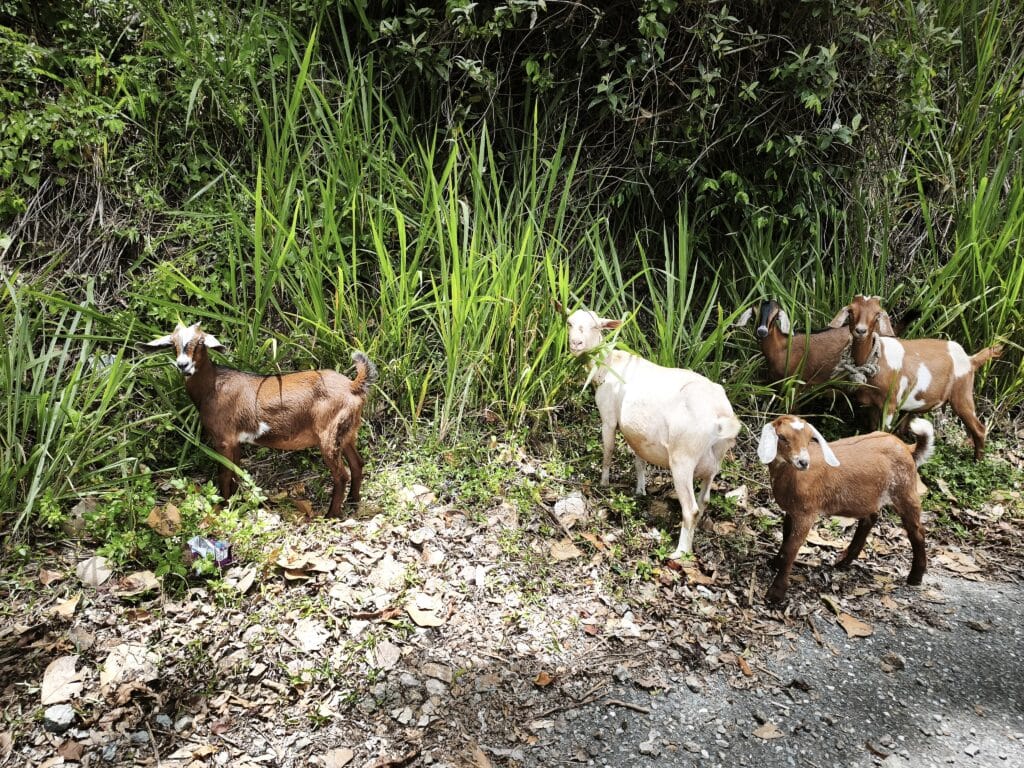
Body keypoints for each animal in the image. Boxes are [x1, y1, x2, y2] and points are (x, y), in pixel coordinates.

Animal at [140, 323, 377, 517]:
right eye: (173, 343)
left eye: (200, 343)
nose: (183, 365)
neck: (213, 387)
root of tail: (352, 386)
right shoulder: (235, 440)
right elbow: (234, 472)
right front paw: (234, 502)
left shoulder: (223, 439)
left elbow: (224, 474)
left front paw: (223, 506)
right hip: (347, 433)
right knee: (357, 463)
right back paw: (354, 501)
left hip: (329, 433)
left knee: (341, 474)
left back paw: (331, 514)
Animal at [563, 305, 741, 559]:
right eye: (569, 322)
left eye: (596, 326)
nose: (576, 343)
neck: (609, 362)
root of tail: (720, 415)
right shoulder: (638, 434)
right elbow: (639, 460)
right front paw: (640, 490)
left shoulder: (608, 416)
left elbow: (608, 449)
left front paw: (604, 483)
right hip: (715, 460)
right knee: (704, 499)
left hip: (683, 458)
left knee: (691, 509)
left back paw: (679, 553)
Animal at [757, 414, 934, 603]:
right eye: (782, 437)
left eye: (809, 438)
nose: (803, 462)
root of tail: (907, 447)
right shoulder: (792, 510)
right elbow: (785, 538)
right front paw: (774, 563)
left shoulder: (806, 512)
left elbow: (791, 549)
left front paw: (775, 594)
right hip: (872, 494)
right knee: (870, 519)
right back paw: (844, 561)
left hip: (904, 490)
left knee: (917, 531)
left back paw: (915, 577)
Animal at [830, 294, 1002, 460]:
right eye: (851, 311)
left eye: (877, 314)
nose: (861, 331)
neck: (879, 359)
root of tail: (970, 359)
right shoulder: (872, 405)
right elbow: (873, 430)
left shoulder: (890, 404)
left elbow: (884, 430)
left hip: (962, 393)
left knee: (979, 429)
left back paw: (977, 461)